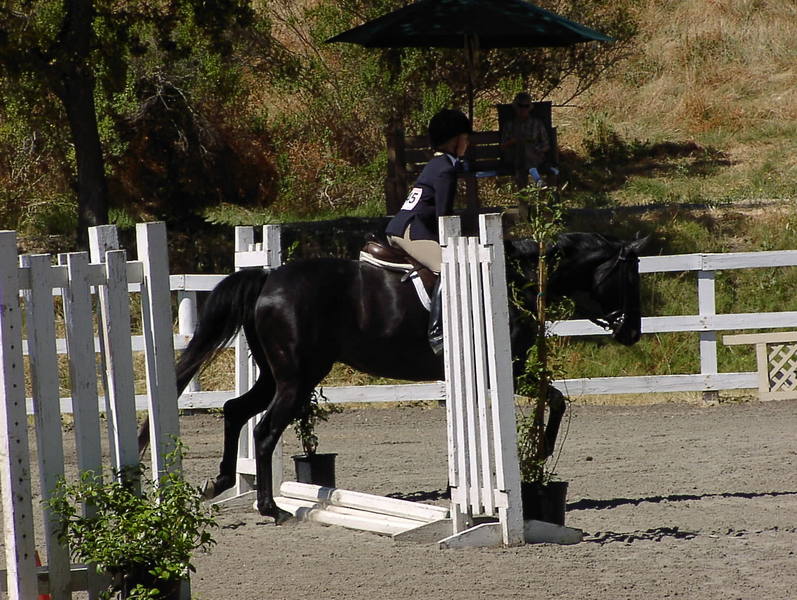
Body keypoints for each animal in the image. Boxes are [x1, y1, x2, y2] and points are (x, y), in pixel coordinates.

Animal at [169, 231, 647, 523]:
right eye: (630, 278)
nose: (632, 334)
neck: (515, 278)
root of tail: (268, 278)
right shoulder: (507, 369)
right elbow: (557, 401)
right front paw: (539, 453)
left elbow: (551, 400)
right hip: (296, 379)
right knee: (264, 430)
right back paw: (271, 508)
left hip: (276, 374)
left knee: (235, 411)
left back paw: (219, 483)